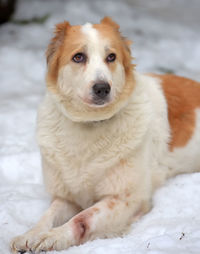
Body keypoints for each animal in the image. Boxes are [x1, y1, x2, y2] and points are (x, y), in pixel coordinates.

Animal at [10, 16, 200, 253]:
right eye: (78, 57)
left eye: (111, 57)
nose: (102, 88)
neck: (90, 124)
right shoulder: (66, 198)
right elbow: (47, 216)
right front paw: (31, 234)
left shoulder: (126, 199)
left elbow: (82, 219)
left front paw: (55, 237)